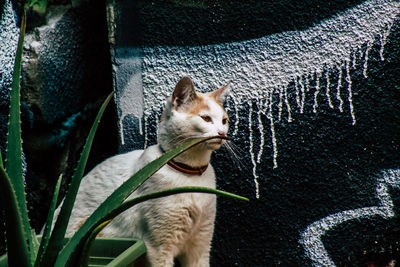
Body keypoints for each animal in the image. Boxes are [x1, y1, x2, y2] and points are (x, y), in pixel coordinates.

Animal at [61, 76, 230, 266]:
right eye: (206, 118)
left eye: (224, 120)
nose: (222, 133)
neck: (190, 175)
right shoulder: (157, 248)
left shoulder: (200, 245)